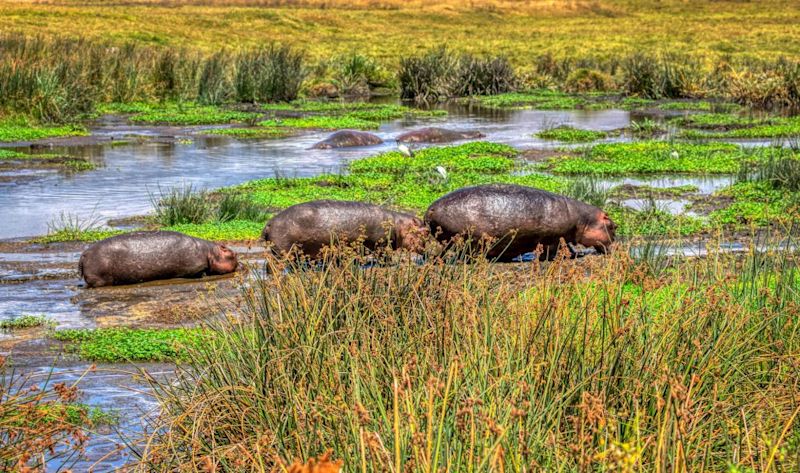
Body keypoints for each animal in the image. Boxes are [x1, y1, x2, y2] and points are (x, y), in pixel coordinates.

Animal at [79, 230, 239, 288]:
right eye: (232, 253)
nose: (240, 261)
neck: (210, 252)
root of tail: (84, 254)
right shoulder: (195, 267)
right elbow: (200, 272)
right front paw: (205, 274)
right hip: (99, 279)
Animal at [262, 199, 428, 258]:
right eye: (425, 232)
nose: (428, 253)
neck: (398, 224)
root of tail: (269, 223)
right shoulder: (381, 244)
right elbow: (384, 258)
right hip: (283, 250)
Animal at [424, 183, 620, 260]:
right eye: (613, 226)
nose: (615, 247)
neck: (583, 219)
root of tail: (430, 209)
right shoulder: (553, 237)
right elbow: (553, 250)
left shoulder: (563, 237)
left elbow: (569, 247)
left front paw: (575, 254)